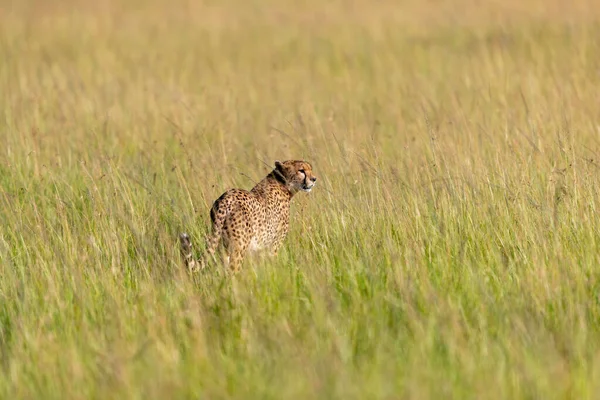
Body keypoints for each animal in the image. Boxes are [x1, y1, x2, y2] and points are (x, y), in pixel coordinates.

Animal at [179, 159, 316, 272]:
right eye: (301, 170)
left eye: (310, 168)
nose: (314, 179)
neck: (283, 184)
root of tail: (225, 199)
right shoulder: (273, 246)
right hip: (239, 248)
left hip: (223, 246)